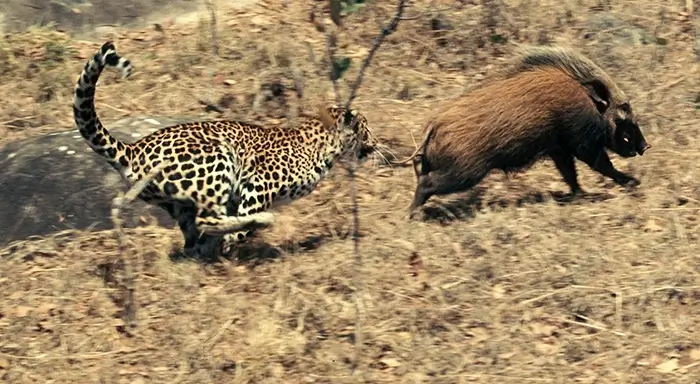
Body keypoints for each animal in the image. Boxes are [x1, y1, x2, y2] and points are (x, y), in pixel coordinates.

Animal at [73, 41, 380, 258]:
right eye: (366, 127)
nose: (377, 145)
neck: (324, 146)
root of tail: (133, 149)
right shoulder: (258, 183)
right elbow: (241, 221)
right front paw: (236, 239)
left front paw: (226, 245)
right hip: (216, 159)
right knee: (208, 220)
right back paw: (260, 222)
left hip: (178, 203)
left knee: (193, 239)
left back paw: (208, 250)